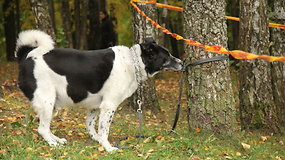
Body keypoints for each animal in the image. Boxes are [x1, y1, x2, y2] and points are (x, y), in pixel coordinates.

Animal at [15, 29, 183, 151]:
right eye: (167, 56)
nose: (182, 63)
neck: (132, 62)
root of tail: (26, 57)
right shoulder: (109, 106)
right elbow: (104, 130)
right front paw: (108, 147)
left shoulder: (95, 106)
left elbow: (90, 126)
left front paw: (97, 140)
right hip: (46, 100)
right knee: (42, 129)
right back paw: (52, 143)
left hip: (52, 103)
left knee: (46, 127)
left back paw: (57, 139)